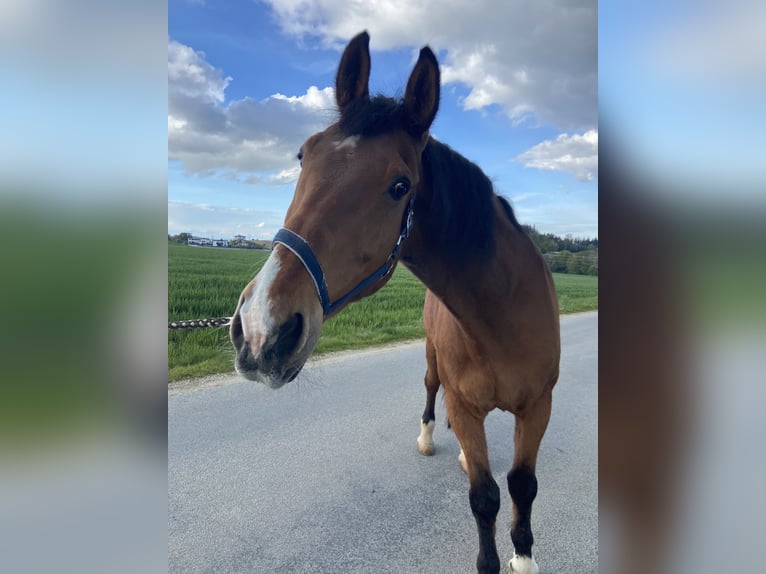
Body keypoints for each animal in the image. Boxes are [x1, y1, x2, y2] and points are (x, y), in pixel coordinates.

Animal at [231, 31, 560, 574]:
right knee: (430, 389)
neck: (502, 314)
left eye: (399, 185)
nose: (260, 329)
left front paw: (524, 555)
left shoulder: (538, 407)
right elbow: (485, 497)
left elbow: (522, 486)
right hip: (432, 358)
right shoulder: (465, 405)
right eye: (303, 156)